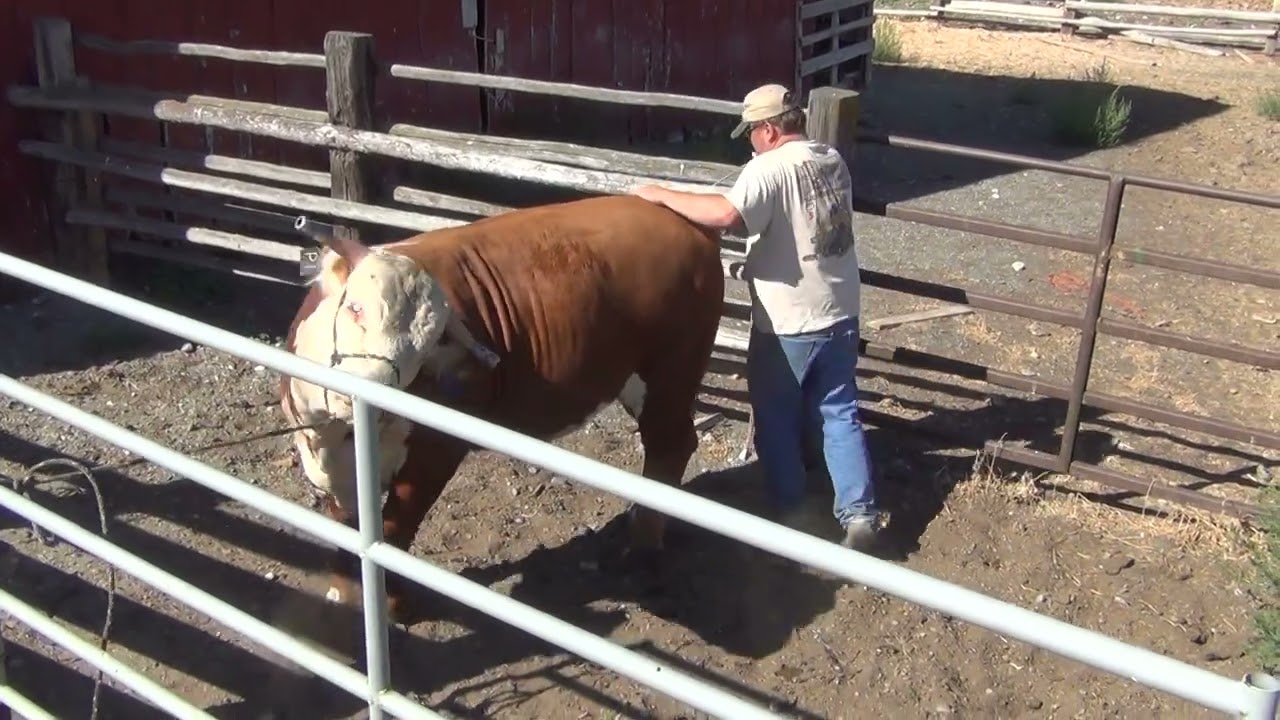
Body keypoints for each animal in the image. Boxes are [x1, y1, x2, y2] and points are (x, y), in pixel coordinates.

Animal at [278, 194, 726, 622]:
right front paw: (343, 593)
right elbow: (345, 524)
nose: (378, 397)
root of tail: (678, 218)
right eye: (355, 308)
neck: (335, 436)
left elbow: (394, 527)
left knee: (669, 445)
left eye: (431, 344)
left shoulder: (435, 452)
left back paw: (642, 547)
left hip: (671, 373)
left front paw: (392, 606)